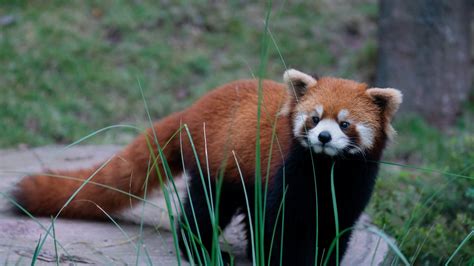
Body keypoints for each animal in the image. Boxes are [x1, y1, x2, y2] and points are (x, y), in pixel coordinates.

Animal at [12, 68, 402, 264]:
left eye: (345, 124)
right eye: (314, 118)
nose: (322, 137)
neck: (327, 172)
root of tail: (193, 108)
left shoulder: (353, 188)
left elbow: (335, 230)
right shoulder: (288, 173)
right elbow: (280, 226)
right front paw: (283, 260)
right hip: (217, 164)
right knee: (203, 210)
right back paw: (203, 252)